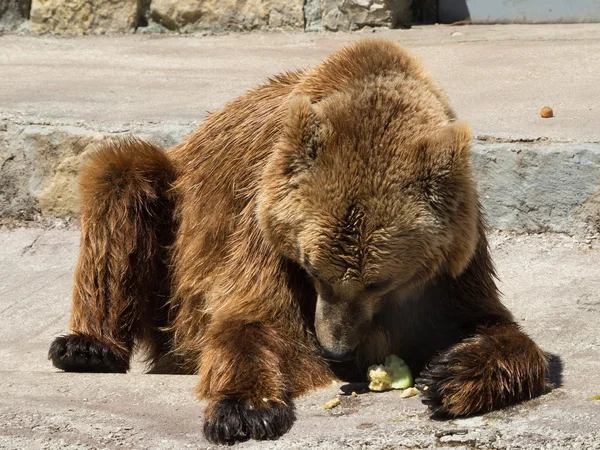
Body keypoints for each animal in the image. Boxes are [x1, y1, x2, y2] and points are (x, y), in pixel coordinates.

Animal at [49, 39, 548, 446]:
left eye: (379, 282)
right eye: (312, 271)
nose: (336, 350)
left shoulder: (454, 255)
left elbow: (490, 323)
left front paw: (449, 376)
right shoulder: (263, 220)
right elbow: (256, 319)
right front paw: (245, 409)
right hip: (174, 215)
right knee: (121, 176)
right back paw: (87, 346)